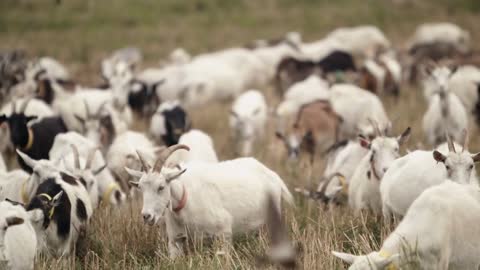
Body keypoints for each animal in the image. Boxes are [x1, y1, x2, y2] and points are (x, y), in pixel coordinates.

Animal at [125, 144, 294, 258]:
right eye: (140, 187)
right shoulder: (175, 240)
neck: (186, 198)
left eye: (161, 187)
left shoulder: (223, 234)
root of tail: (272, 175)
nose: (146, 216)